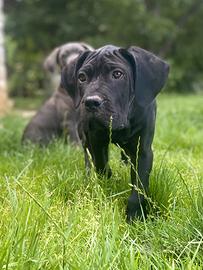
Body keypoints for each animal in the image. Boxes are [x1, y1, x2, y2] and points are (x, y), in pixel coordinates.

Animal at [61, 44, 170, 221]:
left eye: (117, 74)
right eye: (82, 77)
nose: (91, 102)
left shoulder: (142, 150)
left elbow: (139, 185)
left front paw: (136, 217)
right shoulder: (95, 141)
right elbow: (101, 165)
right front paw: (105, 185)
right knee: (88, 156)